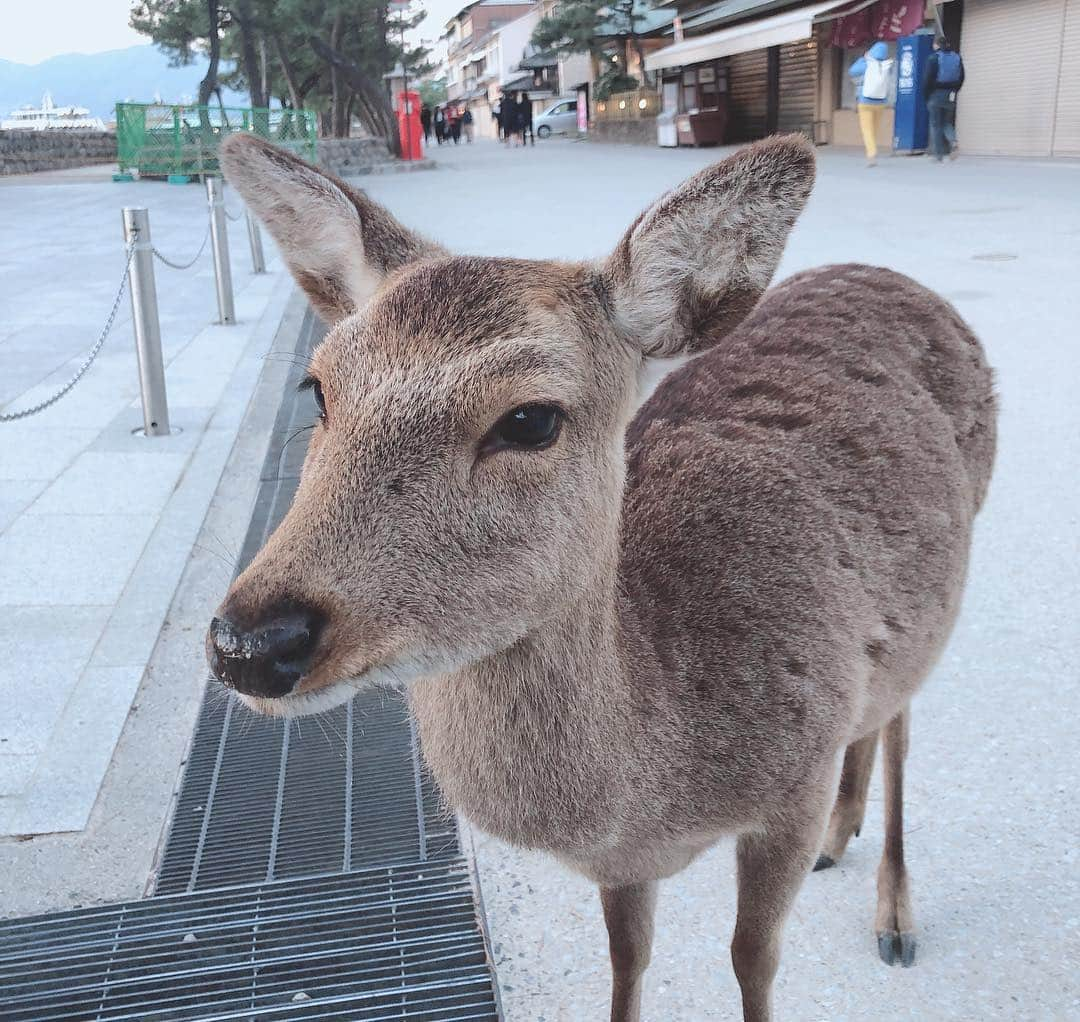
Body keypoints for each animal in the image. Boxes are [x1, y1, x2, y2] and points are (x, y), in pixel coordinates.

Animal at [208, 133, 993, 1019]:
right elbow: (627, 959)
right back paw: (844, 831)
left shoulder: (795, 783)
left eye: (530, 418)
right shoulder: (624, 865)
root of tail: (899, 278)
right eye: (317, 388)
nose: (250, 641)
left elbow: (753, 958)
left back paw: (894, 913)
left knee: (903, 717)